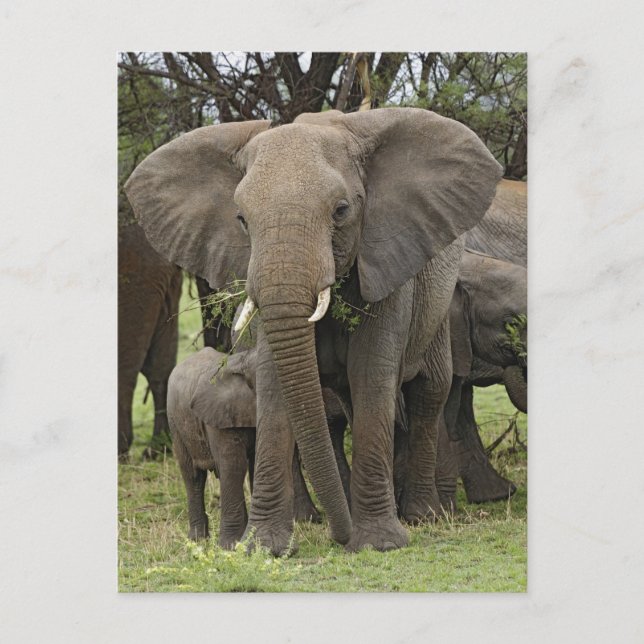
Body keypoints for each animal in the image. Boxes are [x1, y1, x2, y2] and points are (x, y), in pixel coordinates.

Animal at [168, 346, 350, 548]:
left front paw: (247, 539)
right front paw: (231, 546)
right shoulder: (218, 416)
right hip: (175, 422)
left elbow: (257, 464)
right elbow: (234, 465)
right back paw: (198, 539)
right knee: (193, 476)